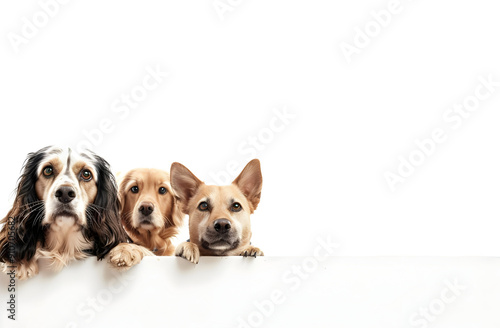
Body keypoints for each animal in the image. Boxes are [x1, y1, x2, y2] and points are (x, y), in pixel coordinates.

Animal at [0, 146, 151, 280]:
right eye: (48, 170)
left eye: (86, 174)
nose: (65, 193)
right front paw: (21, 262)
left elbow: (144, 250)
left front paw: (126, 250)